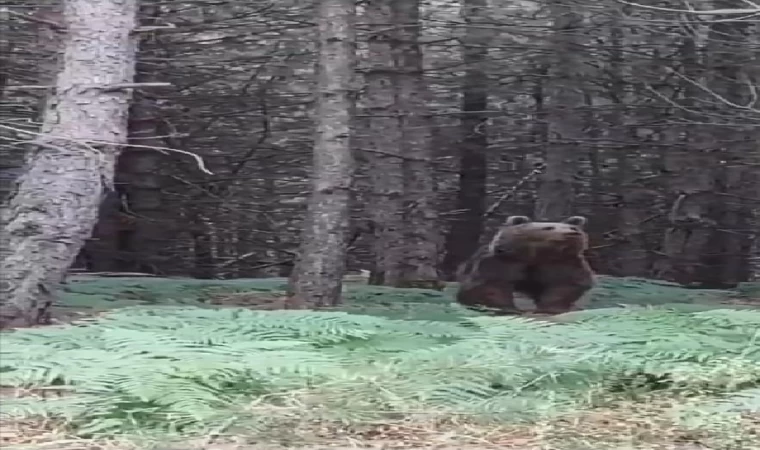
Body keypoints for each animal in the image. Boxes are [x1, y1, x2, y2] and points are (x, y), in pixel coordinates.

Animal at [454, 215, 596, 314]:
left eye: (573, 228)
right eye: (548, 227)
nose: (572, 233)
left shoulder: (562, 264)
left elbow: (564, 285)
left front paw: (551, 307)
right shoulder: (503, 263)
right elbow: (491, 286)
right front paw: (506, 307)